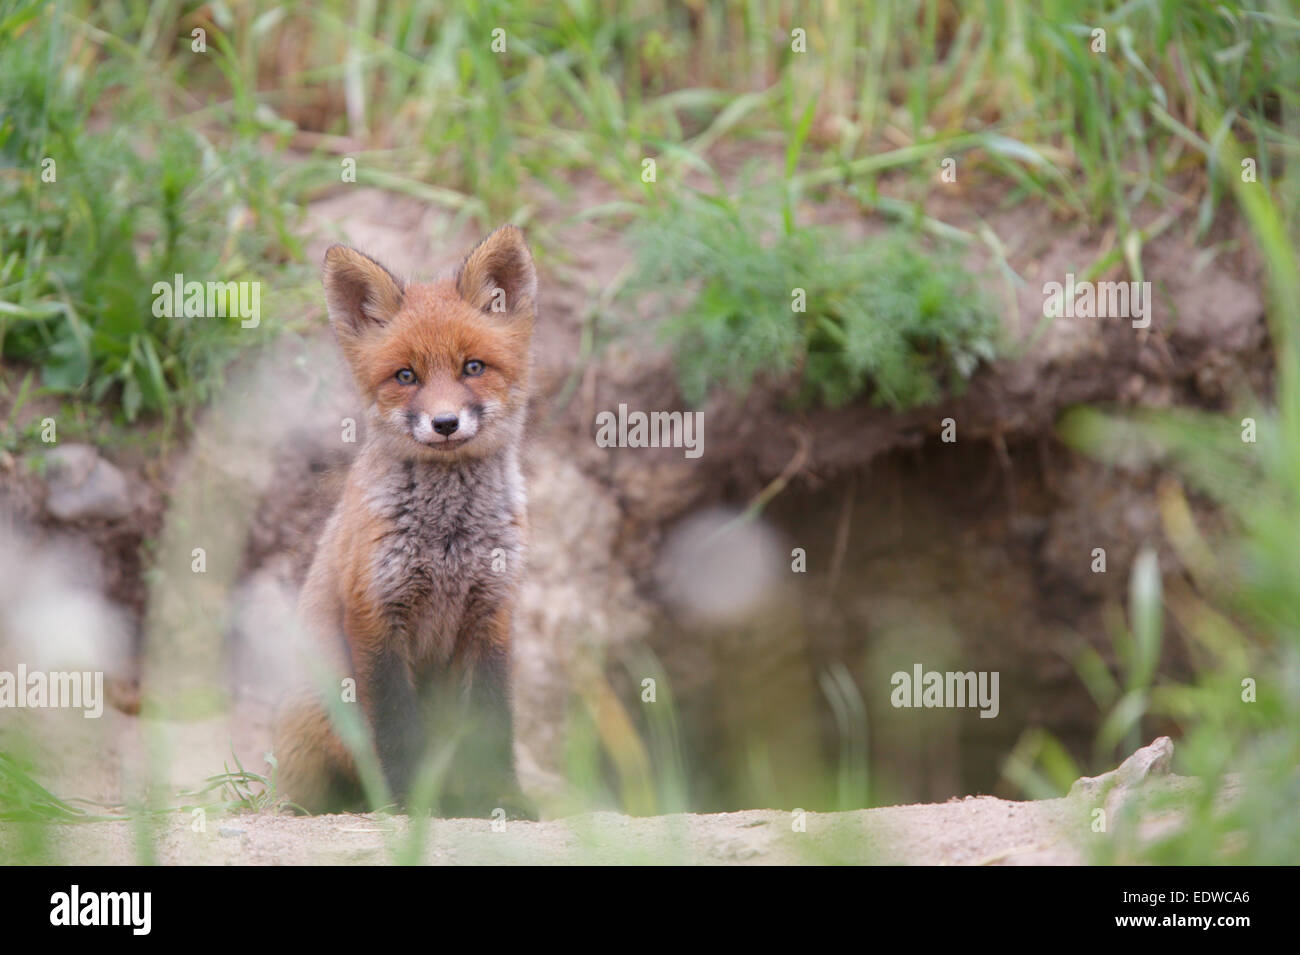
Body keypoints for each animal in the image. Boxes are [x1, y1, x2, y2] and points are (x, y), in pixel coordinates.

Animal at [274, 223, 538, 815]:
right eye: (406, 376)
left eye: (472, 367)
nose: (445, 423)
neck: (449, 541)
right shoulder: (375, 613)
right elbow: (395, 728)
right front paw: (407, 803)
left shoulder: (493, 611)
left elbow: (493, 722)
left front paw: (501, 798)